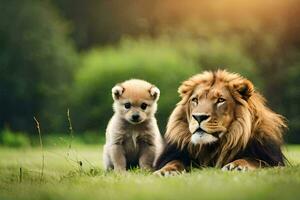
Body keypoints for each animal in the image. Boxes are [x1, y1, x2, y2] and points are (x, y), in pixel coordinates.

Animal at [155, 70, 286, 175]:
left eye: (220, 100)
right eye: (195, 100)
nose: (199, 117)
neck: (213, 147)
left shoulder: (272, 160)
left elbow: (254, 160)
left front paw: (236, 166)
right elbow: (173, 162)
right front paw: (165, 171)